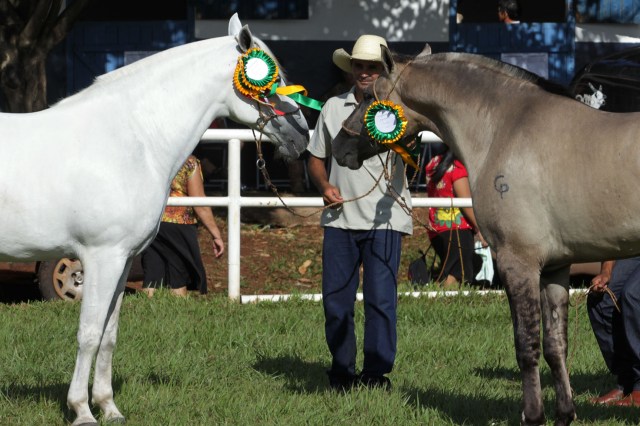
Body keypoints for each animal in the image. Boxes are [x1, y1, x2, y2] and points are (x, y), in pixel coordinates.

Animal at [0, 14, 308, 425]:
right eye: (270, 81)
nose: (302, 135)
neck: (130, 139)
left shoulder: (122, 260)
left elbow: (110, 334)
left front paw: (108, 406)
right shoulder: (101, 257)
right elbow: (89, 333)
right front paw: (82, 410)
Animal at [331, 44, 640, 425]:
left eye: (368, 96)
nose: (339, 147)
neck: (505, 127)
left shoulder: (517, 263)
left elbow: (526, 345)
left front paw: (533, 416)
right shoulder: (555, 268)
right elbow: (556, 345)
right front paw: (564, 414)